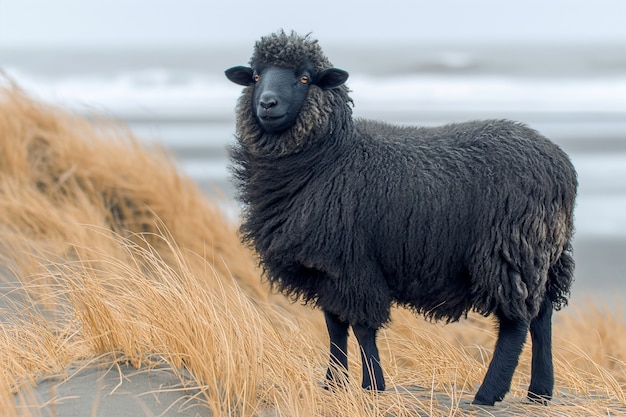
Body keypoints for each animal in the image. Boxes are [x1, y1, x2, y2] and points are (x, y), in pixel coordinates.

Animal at [224, 30, 576, 406]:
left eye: (304, 77)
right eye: (256, 75)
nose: (268, 104)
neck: (330, 156)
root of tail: (561, 167)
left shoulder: (355, 263)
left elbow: (362, 328)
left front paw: (373, 385)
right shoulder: (326, 267)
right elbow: (335, 327)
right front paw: (333, 385)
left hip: (510, 251)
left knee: (515, 323)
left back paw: (488, 394)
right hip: (542, 254)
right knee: (542, 315)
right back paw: (540, 392)